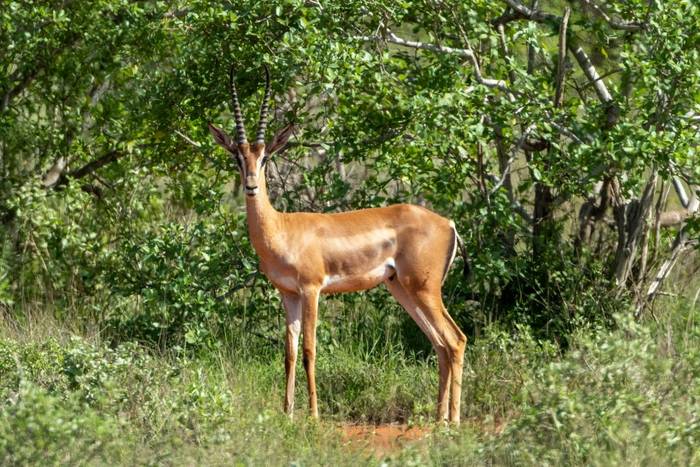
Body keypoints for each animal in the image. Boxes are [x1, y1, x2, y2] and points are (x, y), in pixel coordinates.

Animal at [208, 66, 467, 424]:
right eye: (237, 157)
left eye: (264, 157)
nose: (249, 186)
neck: (281, 229)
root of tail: (449, 224)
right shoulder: (287, 294)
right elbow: (288, 352)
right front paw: (287, 412)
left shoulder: (311, 289)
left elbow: (309, 350)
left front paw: (314, 415)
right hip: (402, 288)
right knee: (440, 344)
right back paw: (437, 417)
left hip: (424, 289)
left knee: (456, 340)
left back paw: (452, 421)